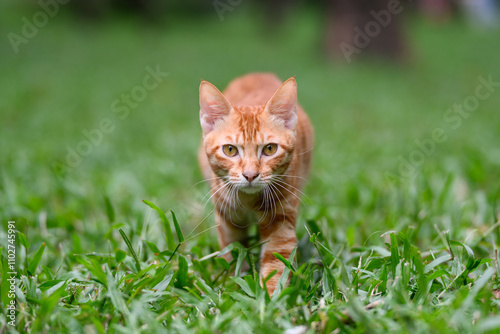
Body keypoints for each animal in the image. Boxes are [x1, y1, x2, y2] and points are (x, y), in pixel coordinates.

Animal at [198, 72, 312, 292]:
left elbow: (276, 264)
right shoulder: (227, 222)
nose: (250, 175)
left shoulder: (280, 221)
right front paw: (233, 285)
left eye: (270, 149)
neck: (247, 201)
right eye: (230, 150)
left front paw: (270, 297)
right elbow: (232, 255)